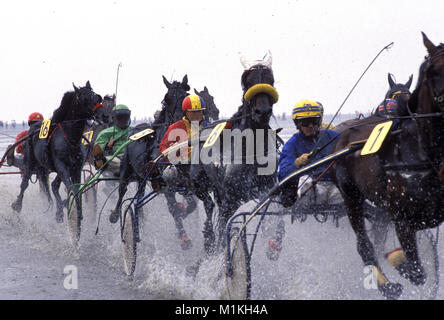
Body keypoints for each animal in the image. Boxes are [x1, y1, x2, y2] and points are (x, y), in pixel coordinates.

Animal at [11, 82, 103, 222]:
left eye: (96, 96)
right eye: (84, 98)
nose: (103, 114)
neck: (71, 139)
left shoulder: (76, 167)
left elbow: (75, 188)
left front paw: (72, 209)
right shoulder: (61, 165)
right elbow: (71, 188)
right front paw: (74, 212)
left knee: (53, 185)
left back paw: (58, 210)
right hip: (31, 161)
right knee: (25, 182)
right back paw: (18, 205)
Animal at [332, 31, 444, 298]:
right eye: (435, 71)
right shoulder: (402, 217)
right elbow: (415, 270)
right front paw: (399, 263)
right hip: (351, 196)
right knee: (364, 244)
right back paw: (387, 284)